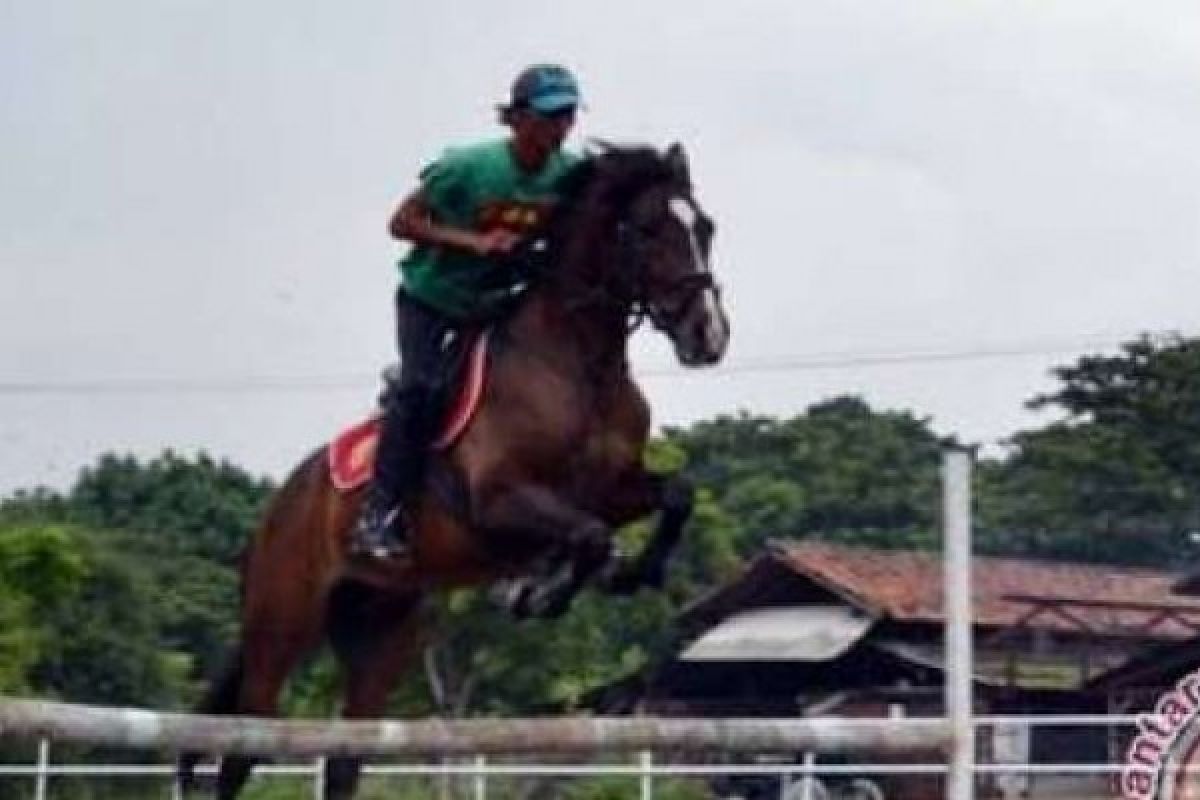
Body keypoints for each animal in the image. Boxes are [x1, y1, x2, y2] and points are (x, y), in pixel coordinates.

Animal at [177, 143, 729, 800]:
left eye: (705, 227)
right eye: (646, 231)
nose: (709, 334)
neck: (578, 364)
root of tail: (276, 508)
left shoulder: (613, 489)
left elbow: (675, 495)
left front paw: (630, 572)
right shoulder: (497, 501)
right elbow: (588, 536)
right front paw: (537, 592)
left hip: (381, 629)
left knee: (344, 756)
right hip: (280, 626)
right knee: (242, 746)